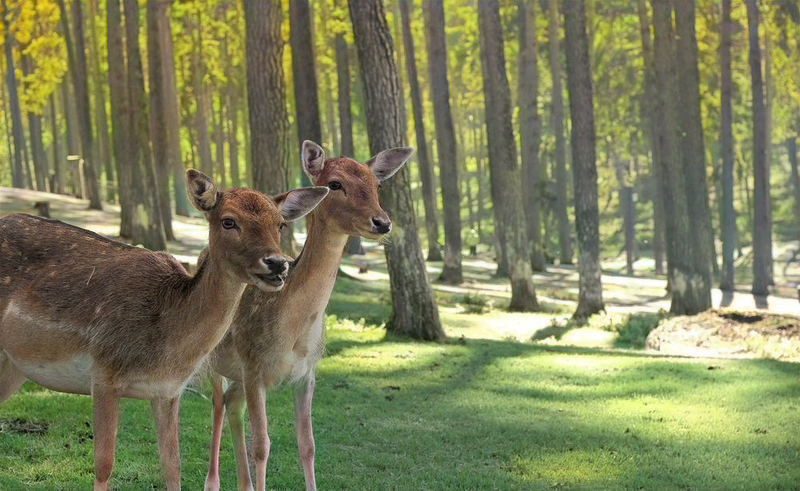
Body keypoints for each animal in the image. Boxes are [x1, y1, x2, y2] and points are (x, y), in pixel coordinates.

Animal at [0, 169, 329, 491]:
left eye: (280, 224)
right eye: (228, 221)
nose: (277, 264)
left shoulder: (168, 391)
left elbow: (172, 467)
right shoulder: (103, 373)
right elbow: (104, 465)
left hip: (13, 367)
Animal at [204, 141, 412, 491]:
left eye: (378, 185)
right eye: (335, 184)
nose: (382, 222)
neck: (294, 333)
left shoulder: (307, 372)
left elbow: (308, 445)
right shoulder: (254, 366)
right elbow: (262, 446)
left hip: (238, 376)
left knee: (232, 404)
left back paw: (244, 484)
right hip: (211, 359)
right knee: (218, 406)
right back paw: (213, 482)